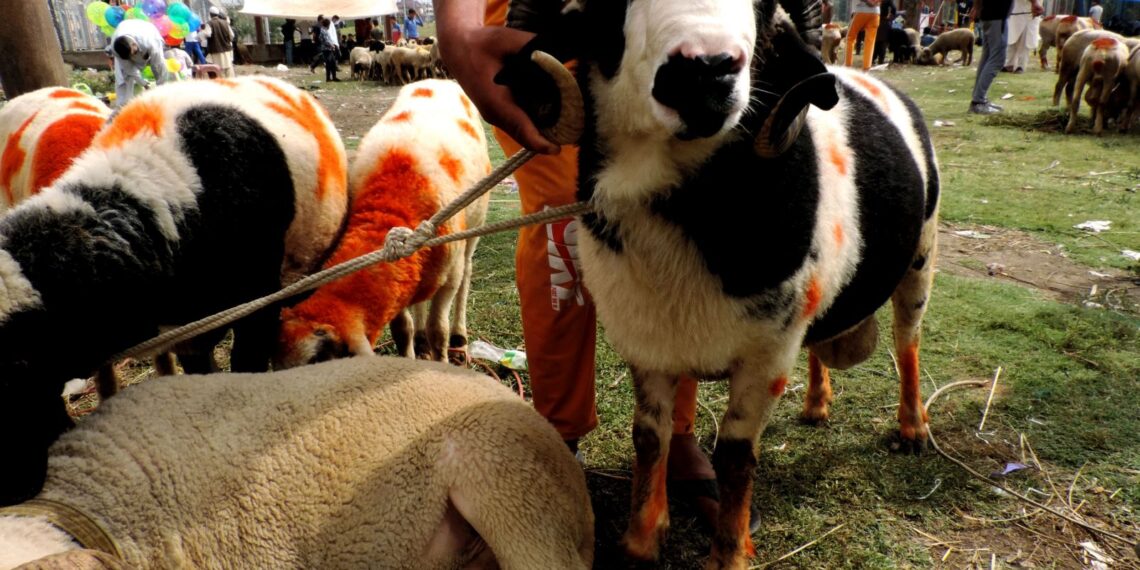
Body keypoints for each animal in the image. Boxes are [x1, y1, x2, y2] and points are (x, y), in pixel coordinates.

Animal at [277, 79, 491, 368]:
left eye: (317, 361)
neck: (391, 207)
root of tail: (438, 80)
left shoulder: (449, 277)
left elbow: (438, 330)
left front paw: (442, 357)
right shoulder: (401, 274)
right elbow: (402, 330)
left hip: (474, 225)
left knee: (467, 273)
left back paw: (459, 337)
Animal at [505, 1, 939, 567]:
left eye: (765, 10)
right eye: (605, 9)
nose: (705, 71)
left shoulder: (767, 357)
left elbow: (734, 456)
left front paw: (728, 554)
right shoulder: (647, 341)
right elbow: (650, 437)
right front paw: (641, 543)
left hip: (921, 255)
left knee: (907, 341)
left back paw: (913, 427)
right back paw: (816, 405)